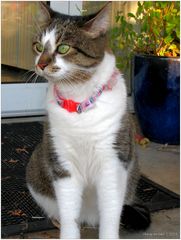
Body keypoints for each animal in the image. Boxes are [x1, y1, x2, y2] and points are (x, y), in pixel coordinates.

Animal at [26, 1, 151, 238]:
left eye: (63, 48)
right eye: (38, 47)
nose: (40, 65)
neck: (78, 101)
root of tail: (90, 218)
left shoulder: (113, 161)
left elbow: (110, 212)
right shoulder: (62, 163)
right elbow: (69, 214)